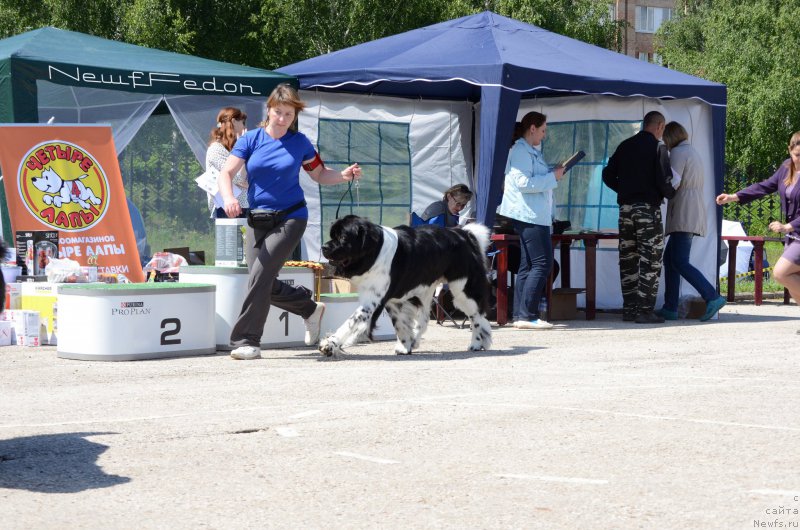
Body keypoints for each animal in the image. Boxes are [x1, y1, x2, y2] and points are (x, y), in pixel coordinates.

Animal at [318, 212, 494, 356]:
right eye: (332, 235)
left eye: (343, 238)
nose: (324, 246)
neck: (375, 251)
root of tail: (464, 234)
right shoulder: (393, 300)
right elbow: (400, 324)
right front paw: (405, 346)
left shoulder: (373, 300)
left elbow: (351, 321)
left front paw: (330, 344)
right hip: (426, 289)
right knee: (424, 319)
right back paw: (416, 340)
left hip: (463, 290)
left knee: (477, 317)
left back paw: (477, 343)